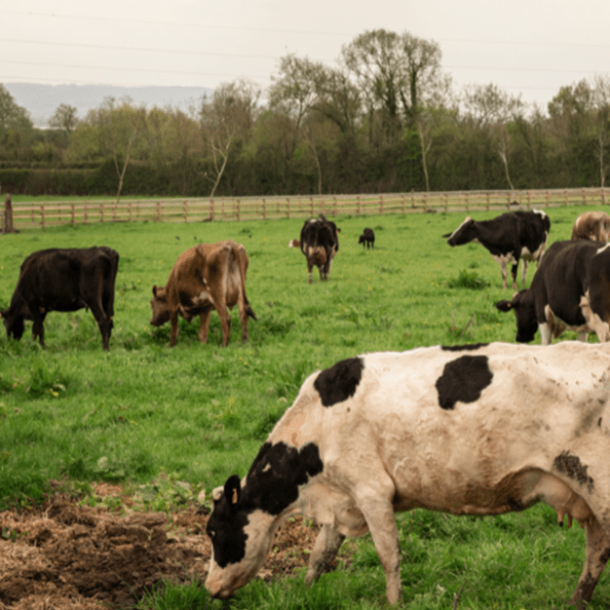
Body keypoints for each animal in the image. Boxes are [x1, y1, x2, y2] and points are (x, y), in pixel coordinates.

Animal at [205, 340, 610, 604]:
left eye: (213, 531)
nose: (208, 588)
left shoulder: (371, 489)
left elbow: (389, 554)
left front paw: (394, 602)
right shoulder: (344, 499)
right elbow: (320, 554)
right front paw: (304, 591)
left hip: (599, 486)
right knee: (596, 549)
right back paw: (577, 600)